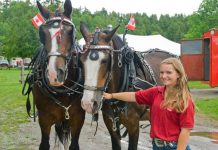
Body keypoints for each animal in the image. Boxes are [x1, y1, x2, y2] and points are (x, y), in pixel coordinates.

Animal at [23, 0, 84, 149]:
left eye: (71, 32)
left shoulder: (78, 119)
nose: (53, 74)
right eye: (42, 34)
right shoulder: (44, 119)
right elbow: (45, 144)